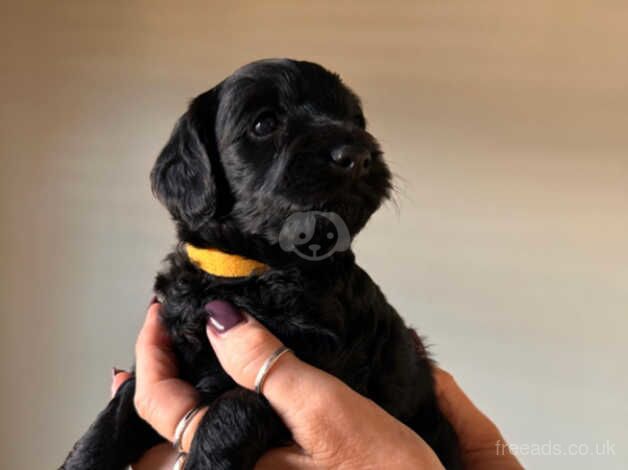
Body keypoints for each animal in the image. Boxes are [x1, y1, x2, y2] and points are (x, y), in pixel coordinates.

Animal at [61, 59, 462, 470]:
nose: (358, 154)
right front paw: (83, 457)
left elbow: (237, 404)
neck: (254, 269)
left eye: (355, 120)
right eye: (264, 123)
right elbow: (122, 403)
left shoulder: (320, 358)